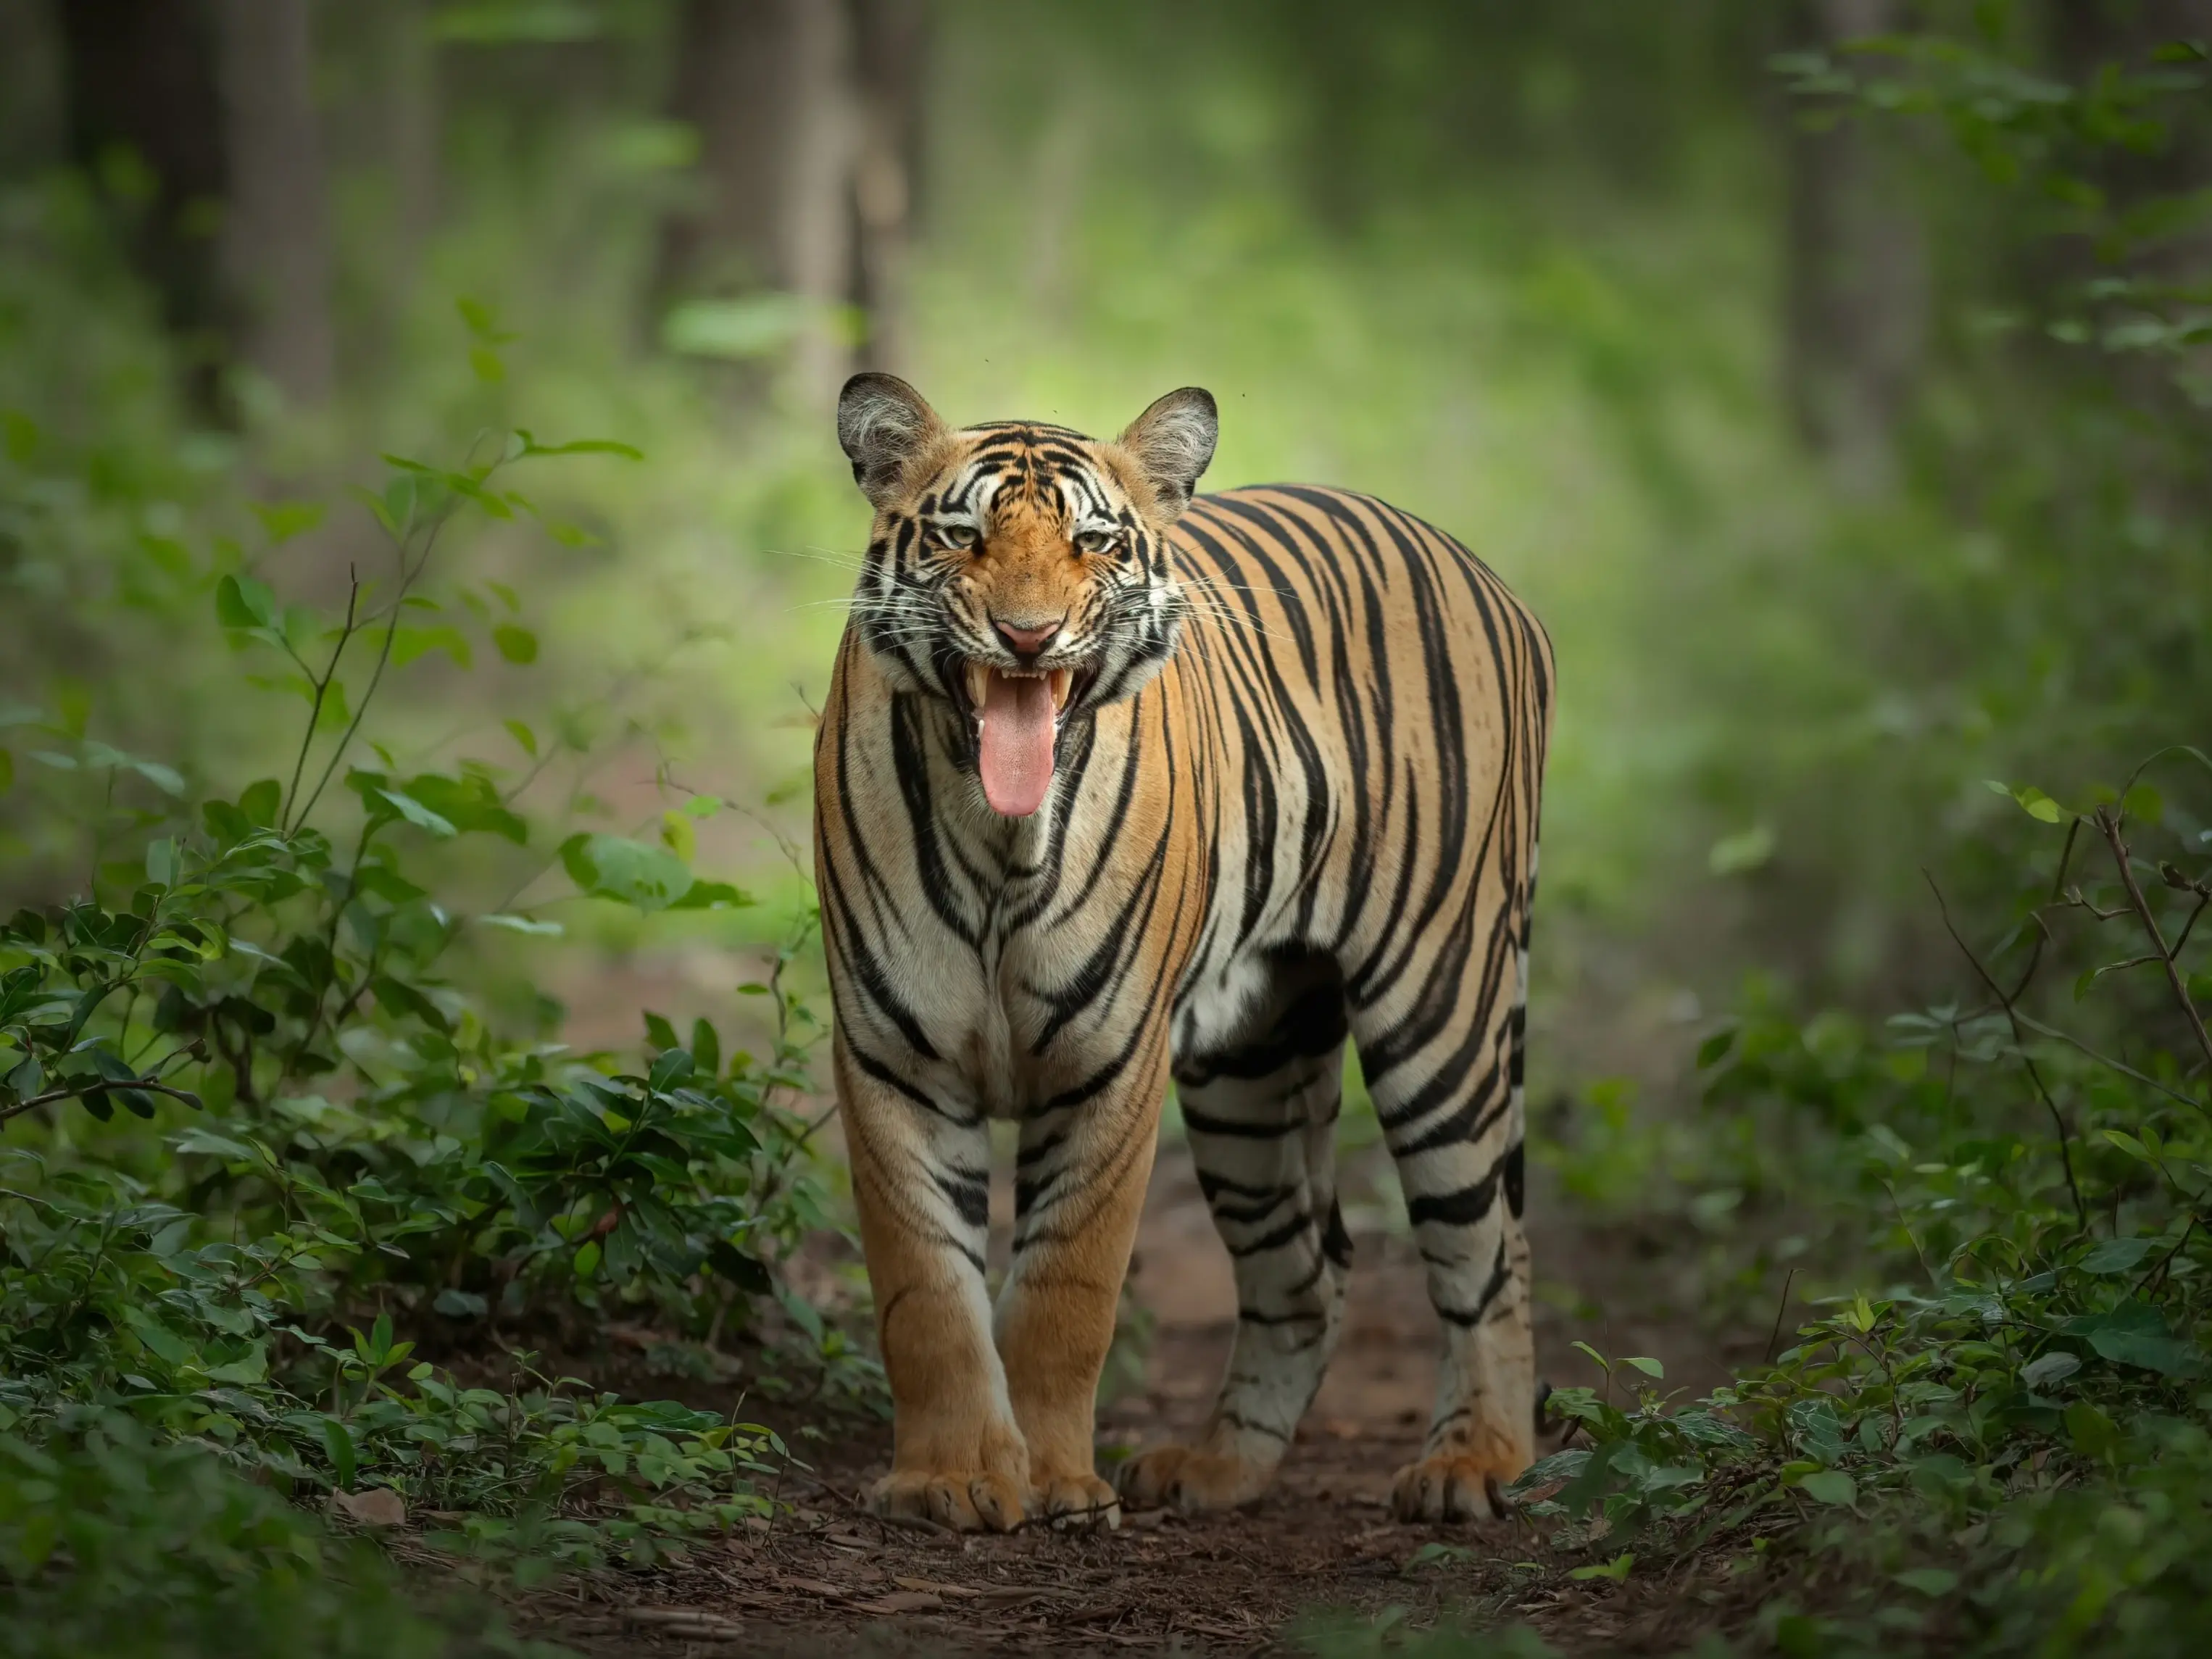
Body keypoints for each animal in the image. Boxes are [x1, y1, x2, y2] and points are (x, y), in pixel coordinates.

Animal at [813, 372, 1552, 1531]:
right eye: (964, 537)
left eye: (1092, 543)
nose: (1028, 638)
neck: (998, 839)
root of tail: (1468, 560)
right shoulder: (895, 1058)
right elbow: (926, 1292)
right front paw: (952, 1479)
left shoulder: (1112, 1062)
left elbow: (1065, 1293)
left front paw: (1055, 1483)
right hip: (1252, 1062)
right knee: (1306, 1269)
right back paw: (1217, 1468)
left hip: (1444, 1009)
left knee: (1490, 1250)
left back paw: (1473, 1463)